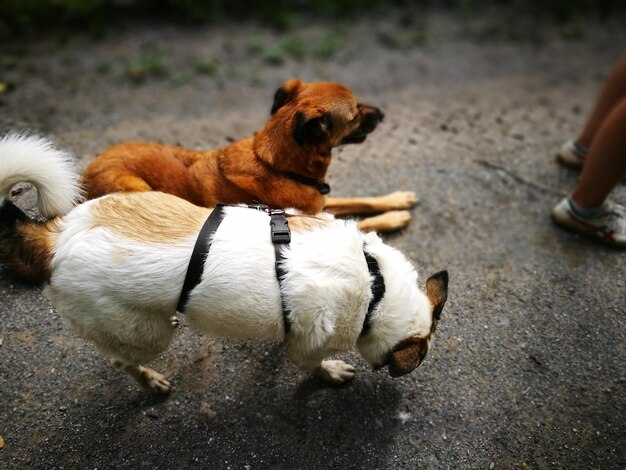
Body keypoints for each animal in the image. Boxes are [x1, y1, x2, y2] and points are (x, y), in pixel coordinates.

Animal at [1, 133, 448, 392]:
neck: (375, 285)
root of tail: (56, 235)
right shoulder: (309, 348)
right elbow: (312, 365)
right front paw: (332, 374)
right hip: (147, 335)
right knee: (120, 358)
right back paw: (150, 381)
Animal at [81, 80, 414, 232]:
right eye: (355, 114)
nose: (382, 113)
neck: (277, 166)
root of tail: (83, 178)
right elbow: (362, 222)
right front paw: (395, 218)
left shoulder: (320, 202)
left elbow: (364, 201)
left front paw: (396, 200)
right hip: (138, 188)